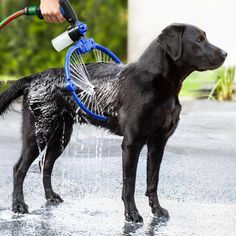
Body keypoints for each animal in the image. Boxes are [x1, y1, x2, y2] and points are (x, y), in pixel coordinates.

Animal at [0, 23, 227, 222]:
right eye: (199, 40)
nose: (225, 53)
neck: (162, 87)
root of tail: (33, 78)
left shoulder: (158, 143)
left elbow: (152, 181)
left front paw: (156, 210)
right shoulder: (131, 143)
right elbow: (130, 184)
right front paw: (132, 214)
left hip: (60, 136)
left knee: (46, 166)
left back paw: (50, 197)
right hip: (38, 133)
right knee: (19, 169)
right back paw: (18, 205)